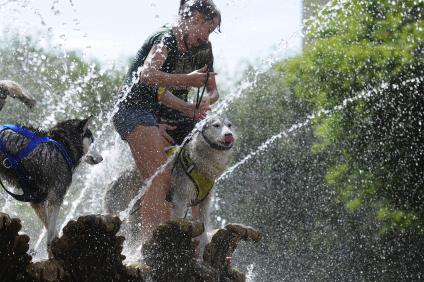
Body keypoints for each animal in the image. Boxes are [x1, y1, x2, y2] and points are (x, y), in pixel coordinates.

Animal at [0, 79, 102, 253]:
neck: (61, 144)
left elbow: (50, 227)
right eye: (93, 140)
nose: (101, 158)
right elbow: (52, 231)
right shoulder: (56, 196)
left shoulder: (36, 199)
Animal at [103, 114, 235, 253]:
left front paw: (203, 248)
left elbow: (203, 228)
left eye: (229, 125)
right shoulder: (180, 200)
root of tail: (110, 183)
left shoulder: (204, 202)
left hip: (135, 217)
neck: (198, 160)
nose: (229, 135)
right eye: (216, 125)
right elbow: (177, 222)